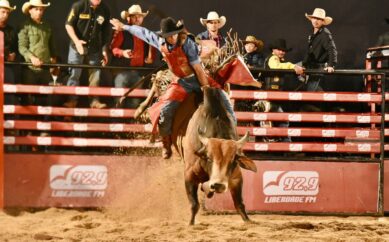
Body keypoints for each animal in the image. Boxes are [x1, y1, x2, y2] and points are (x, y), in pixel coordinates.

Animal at [171, 87, 256, 225]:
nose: (218, 185)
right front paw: (191, 223)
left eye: (233, 161)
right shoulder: (189, 175)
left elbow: (239, 203)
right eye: (209, 158)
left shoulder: (237, 178)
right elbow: (194, 204)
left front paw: (248, 220)